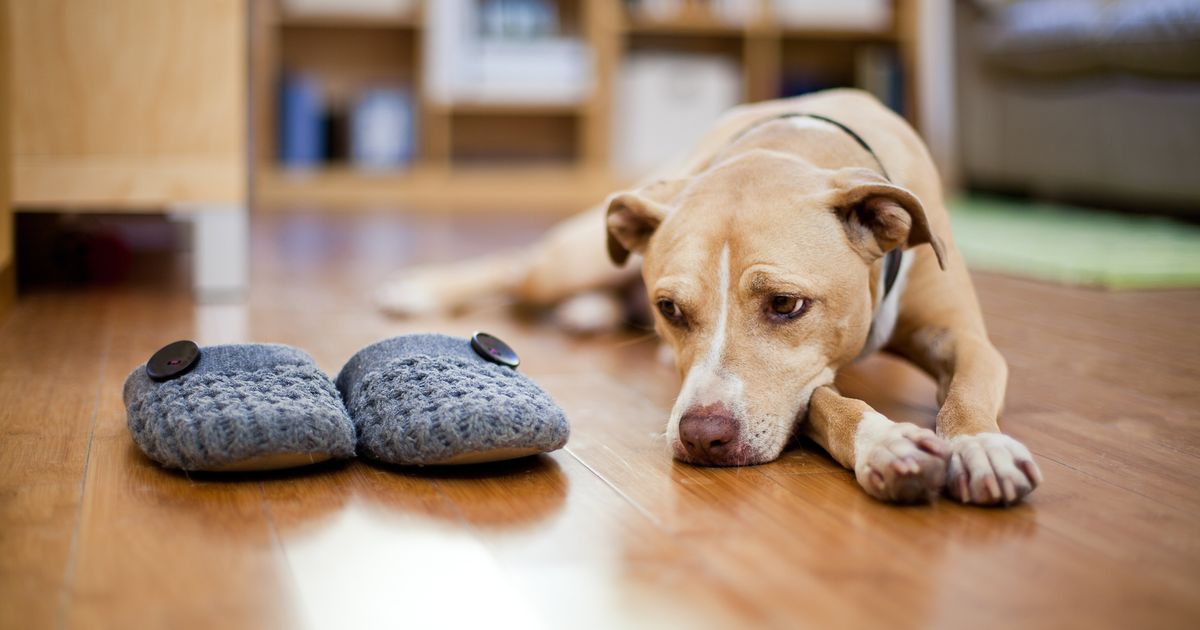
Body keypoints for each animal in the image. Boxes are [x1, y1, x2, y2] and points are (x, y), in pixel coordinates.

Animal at [381, 88, 1041, 504]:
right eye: (670, 309)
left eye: (785, 305)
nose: (703, 436)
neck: (794, 145)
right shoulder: (801, 389)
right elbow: (829, 404)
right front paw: (887, 442)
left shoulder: (964, 337)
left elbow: (968, 391)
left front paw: (980, 446)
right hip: (572, 257)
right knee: (515, 269)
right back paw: (421, 288)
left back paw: (588, 311)